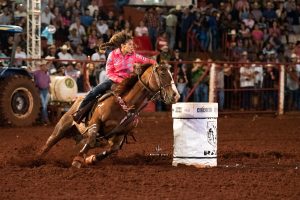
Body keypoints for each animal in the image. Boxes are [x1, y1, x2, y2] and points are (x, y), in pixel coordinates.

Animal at [39, 63, 180, 168]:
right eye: (162, 73)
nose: (176, 95)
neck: (125, 104)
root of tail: (77, 100)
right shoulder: (95, 122)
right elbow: (91, 141)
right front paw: (78, 160)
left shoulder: (120, 134)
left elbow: (112, 149)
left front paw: (90, 159)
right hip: (62, 128)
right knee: (48, 145)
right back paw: (37, 159)